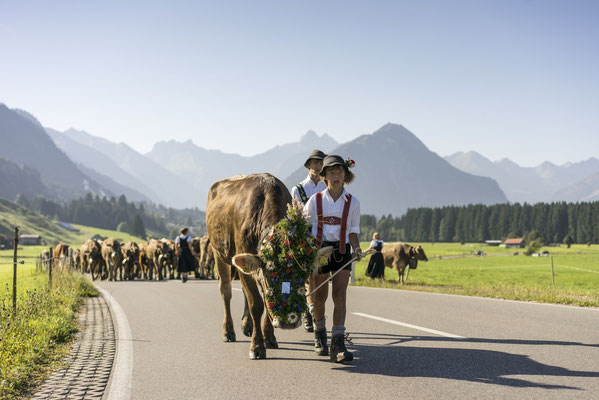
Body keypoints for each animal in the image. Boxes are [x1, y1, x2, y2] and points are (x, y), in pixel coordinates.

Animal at [207, 173, 332, 360]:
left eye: (303, 275)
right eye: (270, 276)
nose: (287, 322)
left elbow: (265, 303)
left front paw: (269, 338)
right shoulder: (248, 263)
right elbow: (256, 304)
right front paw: (257, 346)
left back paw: (247, 325)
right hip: (219, 253)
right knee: (226, 291)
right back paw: (228, 331)